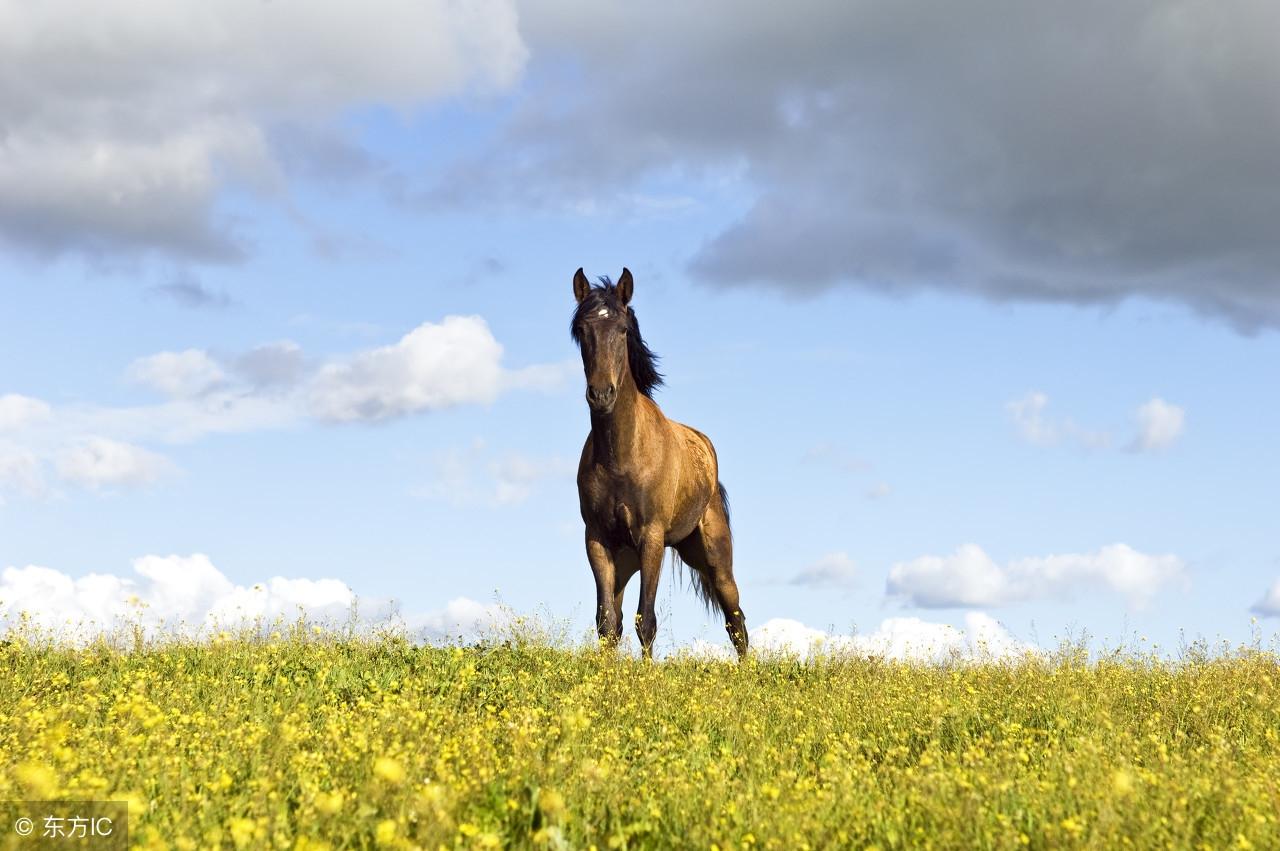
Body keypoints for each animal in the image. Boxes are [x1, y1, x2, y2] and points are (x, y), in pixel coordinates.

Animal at [573, 266, 747, 655]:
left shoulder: (651, 539)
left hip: (714, 559)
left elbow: (647, 621)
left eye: (623, 329)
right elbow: (607, 623)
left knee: (737, 621)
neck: (621, 457)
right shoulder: (597, 540)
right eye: (581, 330)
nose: (601, 394)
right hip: (625, 563)